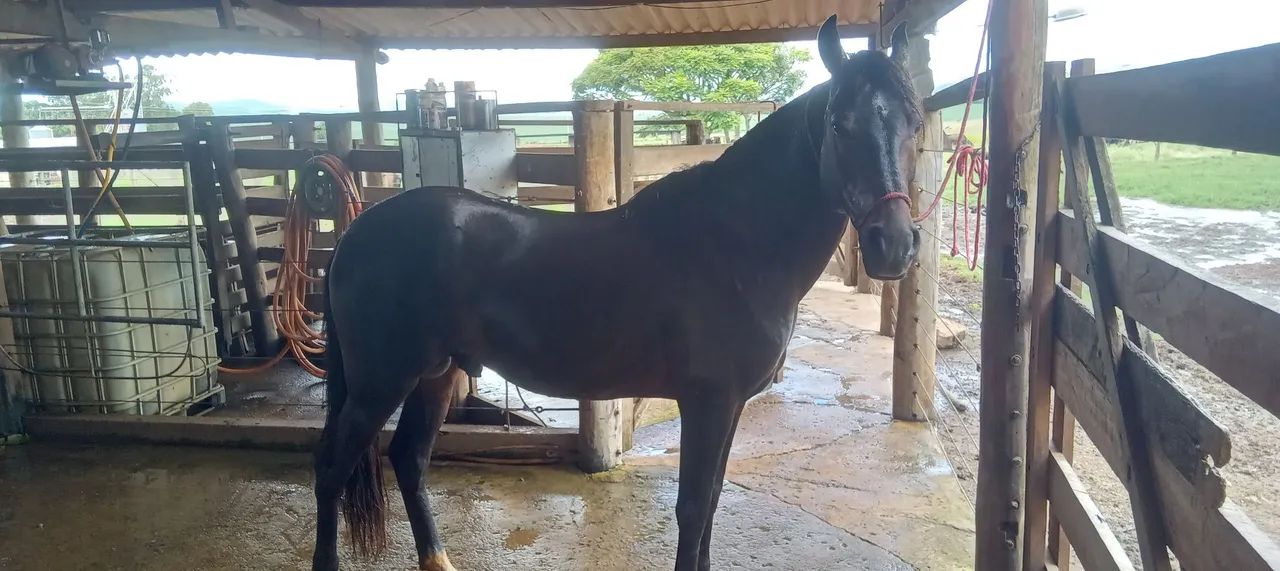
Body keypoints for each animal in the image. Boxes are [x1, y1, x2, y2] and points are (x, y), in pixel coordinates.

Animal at [311, 16, 923, 571]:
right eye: (840, 125)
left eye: (914, 123)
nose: (893, 245)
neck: (735, 244)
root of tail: (355, 233)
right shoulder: (708, 401)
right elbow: (693, 509)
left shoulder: (728, 405)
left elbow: (711, 504)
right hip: (380, 381)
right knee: (331, 471)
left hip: (436, 374)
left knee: (408, 459)